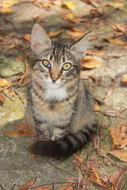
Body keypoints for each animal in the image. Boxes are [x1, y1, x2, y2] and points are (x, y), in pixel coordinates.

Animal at [26, 23, 96, 157]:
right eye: (46, 63)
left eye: (67, 66)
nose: (54, 78)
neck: (53, 98)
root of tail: (91, 115)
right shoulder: (39, 116)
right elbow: (42, 133)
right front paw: (44, 144)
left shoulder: (65, 119)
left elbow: (58, 137)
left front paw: (50, 148)